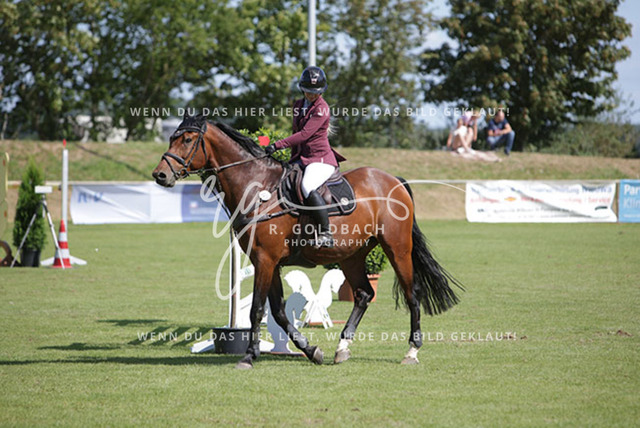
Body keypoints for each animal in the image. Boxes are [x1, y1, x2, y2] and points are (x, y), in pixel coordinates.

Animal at [152, 114, 462, 369]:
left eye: (187, 139)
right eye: (171, 138)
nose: (160, 175)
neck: (258, 187)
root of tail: (393, 181)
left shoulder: (265, 260)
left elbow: (256, 310)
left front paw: (249, 356)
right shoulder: (268, 262)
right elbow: (278, 312)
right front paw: (312, 351)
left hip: (397, 249)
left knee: (412, 293)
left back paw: (411, 351)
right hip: (352, 256)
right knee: (363, 294)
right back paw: (342, 348)